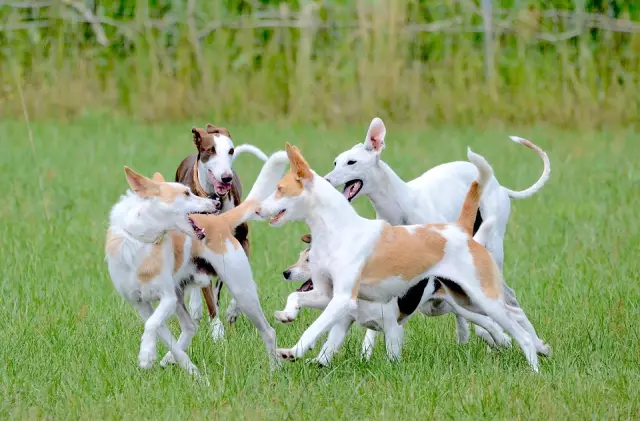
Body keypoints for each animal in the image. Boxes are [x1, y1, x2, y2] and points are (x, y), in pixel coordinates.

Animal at [174, 123, 266, 340]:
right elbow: (209, 295)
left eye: (230, 151)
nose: (226, 177)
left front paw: (233, 310)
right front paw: (217, 331)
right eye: (211, 150)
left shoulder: (241, 241)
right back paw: (196, 309)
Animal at [258, 143, 548, 370]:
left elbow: (314, 329)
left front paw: (292, 351)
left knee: (515, 326)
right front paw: (287, 315)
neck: (338, 228)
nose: (258, 209)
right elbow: (296, 296)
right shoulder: (324, 294)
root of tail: (460, 230)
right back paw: (542, 347)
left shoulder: (342, 299)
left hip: (480, 297)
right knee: (513, 311)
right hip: (466, 298)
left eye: (280, 188)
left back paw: (533, 365)